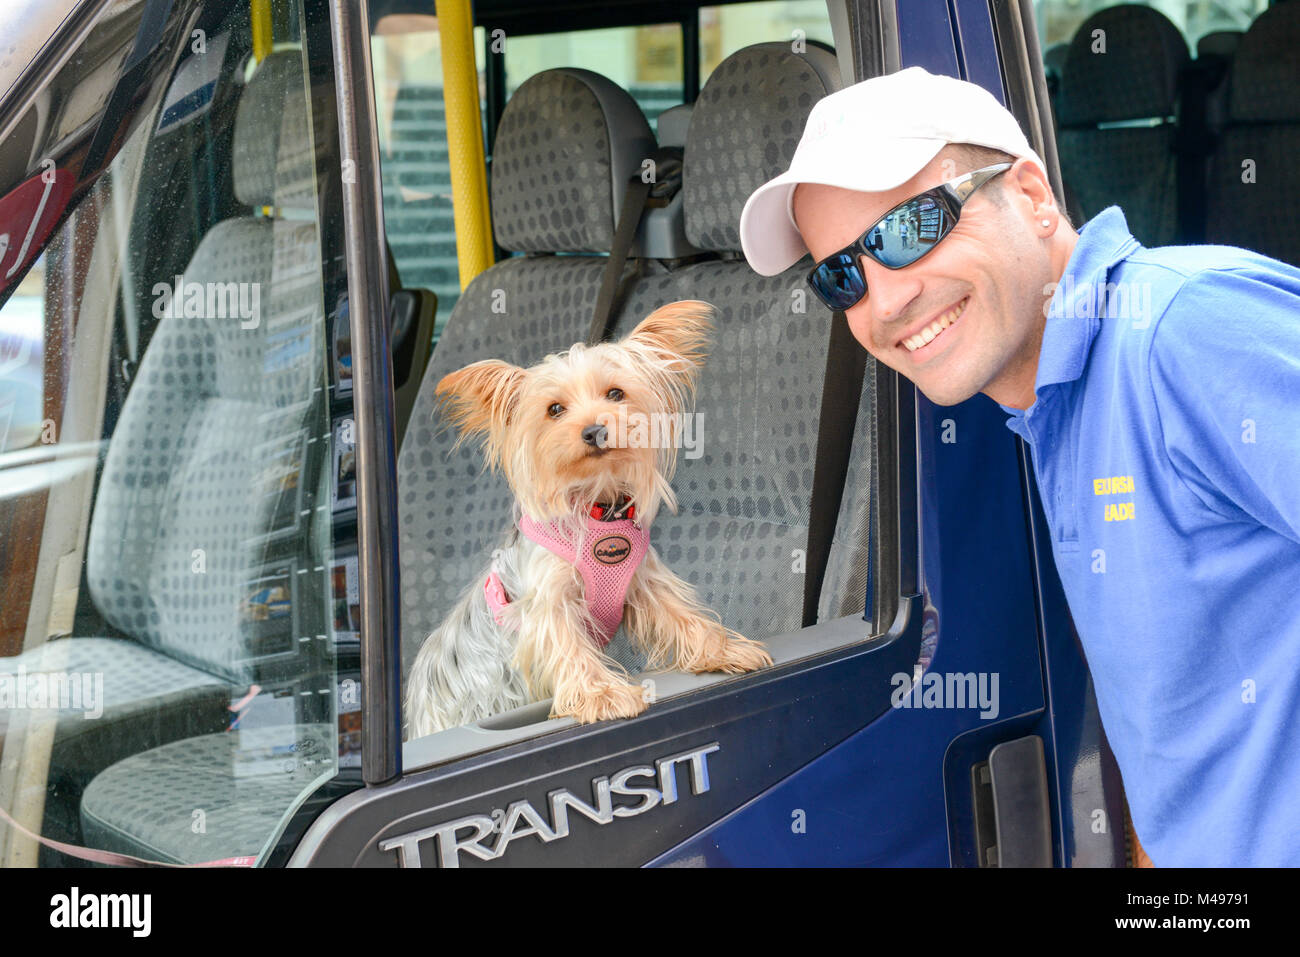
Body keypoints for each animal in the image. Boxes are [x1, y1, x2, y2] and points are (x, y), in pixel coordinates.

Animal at [405, 302, 769, 738]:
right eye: (554, 410)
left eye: (615, 393)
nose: (595, 430)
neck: (598, 507)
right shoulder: (548, 603)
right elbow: (568, 647)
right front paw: (603, 696)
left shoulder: (643, 580)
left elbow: (681, 615)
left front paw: (726, 650)